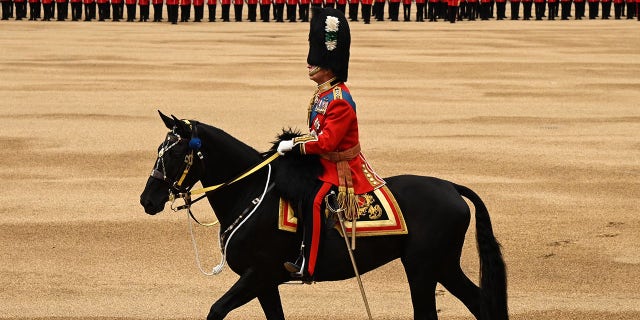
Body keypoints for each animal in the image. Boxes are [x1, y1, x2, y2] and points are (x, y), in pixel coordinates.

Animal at [141, 111, 510, 318]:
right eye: (159, 150)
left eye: (174, 153)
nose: (147, 199)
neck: (249, 191)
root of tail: (451, 186)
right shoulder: (265, 282)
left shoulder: (258, 274)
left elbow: (216, 310)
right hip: (443, 265)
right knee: (479, 304)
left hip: (422, 268)